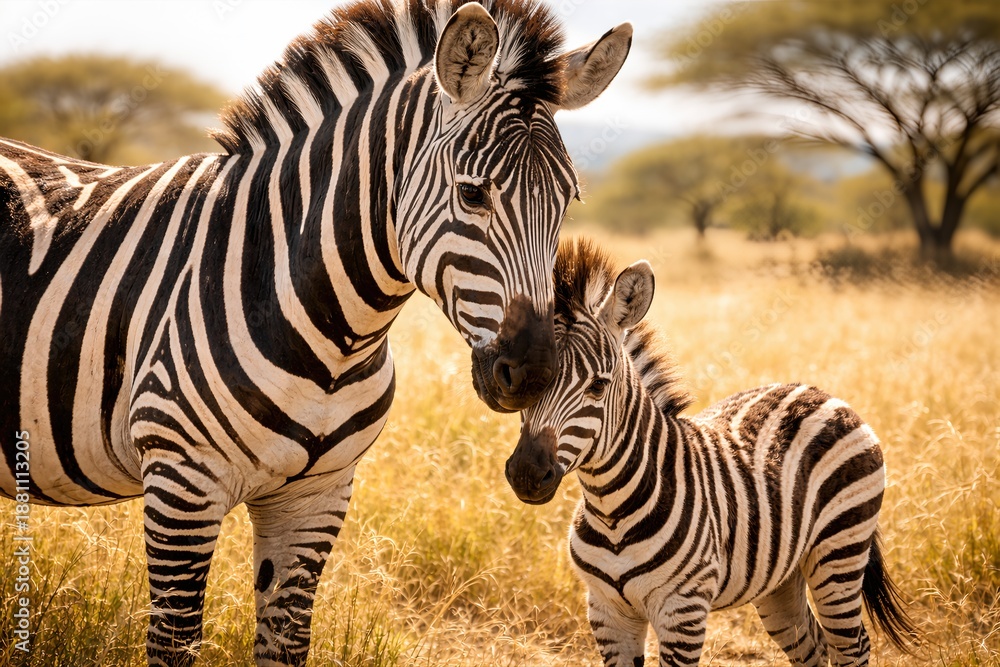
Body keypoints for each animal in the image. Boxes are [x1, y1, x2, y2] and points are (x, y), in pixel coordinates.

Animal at [0, 2, 633, 665]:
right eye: (471, 193)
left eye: (568, 200)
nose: (532, 374)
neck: (337, 337)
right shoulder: (182, 478)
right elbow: (173, 640)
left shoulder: (318, 495)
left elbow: (286, 640)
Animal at [505, 239, 916, 666]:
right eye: (529, 382)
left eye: (598, 387)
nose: (525, 473)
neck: (611, 510)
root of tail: (819, 392)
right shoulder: (606, 612)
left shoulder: (682, 610)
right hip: (780, 579)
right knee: (813, 645)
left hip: (839, 554)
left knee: (852, 644)